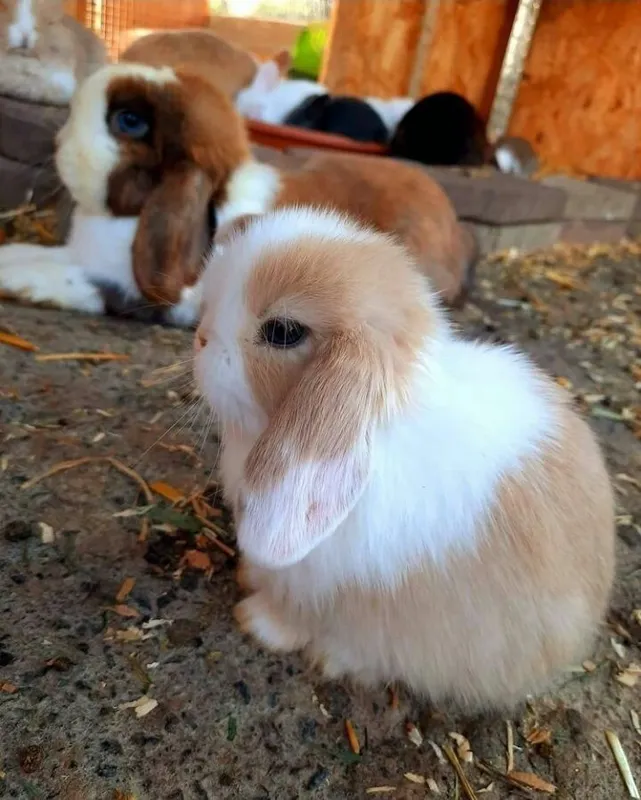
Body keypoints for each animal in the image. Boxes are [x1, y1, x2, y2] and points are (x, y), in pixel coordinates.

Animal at [0, 61, 475, 323]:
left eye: (129, 121)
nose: (59, 140)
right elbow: (34, 255)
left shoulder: (123, 290)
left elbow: (65, 279)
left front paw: (16, 284)